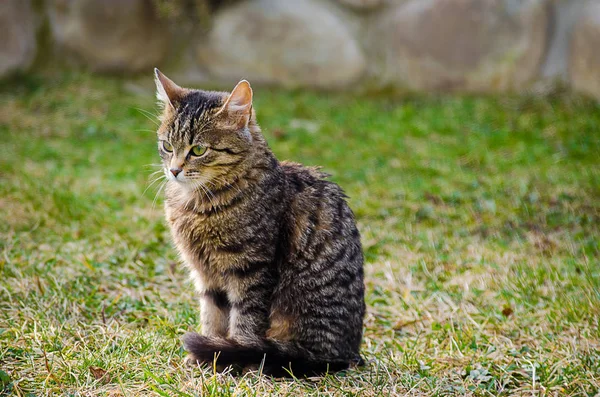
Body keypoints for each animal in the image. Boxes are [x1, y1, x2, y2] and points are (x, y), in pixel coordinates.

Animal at [152, 69, 364, 378]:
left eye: (199, 149)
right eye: (167, 146)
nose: (174, 170)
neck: (197, 204)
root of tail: (347, 353)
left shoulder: (251, 269)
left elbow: (246, 322)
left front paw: (235, 357)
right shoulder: (205, 273)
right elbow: (212, 315)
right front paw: (210, 356)